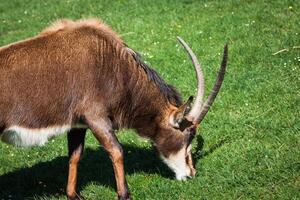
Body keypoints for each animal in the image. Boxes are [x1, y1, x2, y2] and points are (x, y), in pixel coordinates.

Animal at [0, 18, 227, 199]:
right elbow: (117, 151)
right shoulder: (97, 118)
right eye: (188, 135)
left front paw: (73, 194)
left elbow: (75, 155)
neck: (112, 63)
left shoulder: (78, 125)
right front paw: (124, 194)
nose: (191, 174)